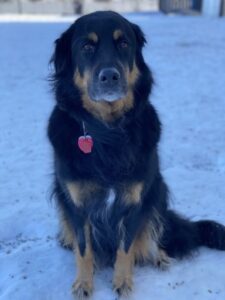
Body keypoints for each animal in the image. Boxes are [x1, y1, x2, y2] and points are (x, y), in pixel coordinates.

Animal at [47, 11, 225, 298]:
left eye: (123, 43)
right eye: (86, 47)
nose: (110, 76)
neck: (107, 133)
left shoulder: (135, 201)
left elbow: (126, 247)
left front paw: (123, 282)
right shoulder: (76, 203)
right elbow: (84, 249)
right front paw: (84, 282)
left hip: (157, 192)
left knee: (154, 234)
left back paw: (159, 256)